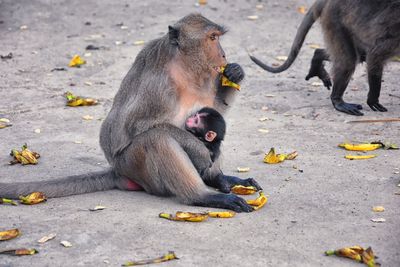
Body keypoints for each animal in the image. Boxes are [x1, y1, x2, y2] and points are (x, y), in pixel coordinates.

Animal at [0, 13, 260, 214]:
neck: (185, 67)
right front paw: (199, 151)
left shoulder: (209, 76)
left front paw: (235, 72)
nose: (223, 55)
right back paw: (202, 195)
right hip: (136, 166)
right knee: (157, 139)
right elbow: (140, 127)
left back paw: (219, 179)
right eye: (212, 38)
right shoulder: (158, 86)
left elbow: (215, 112)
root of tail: (118, 171)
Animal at [250, 0, 400, 116]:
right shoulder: (393, 38)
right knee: (348, 61)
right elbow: (374, 57)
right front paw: (373, 100)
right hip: (333, 18)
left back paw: (317, 58)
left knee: (355, 56)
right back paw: (337, 101)